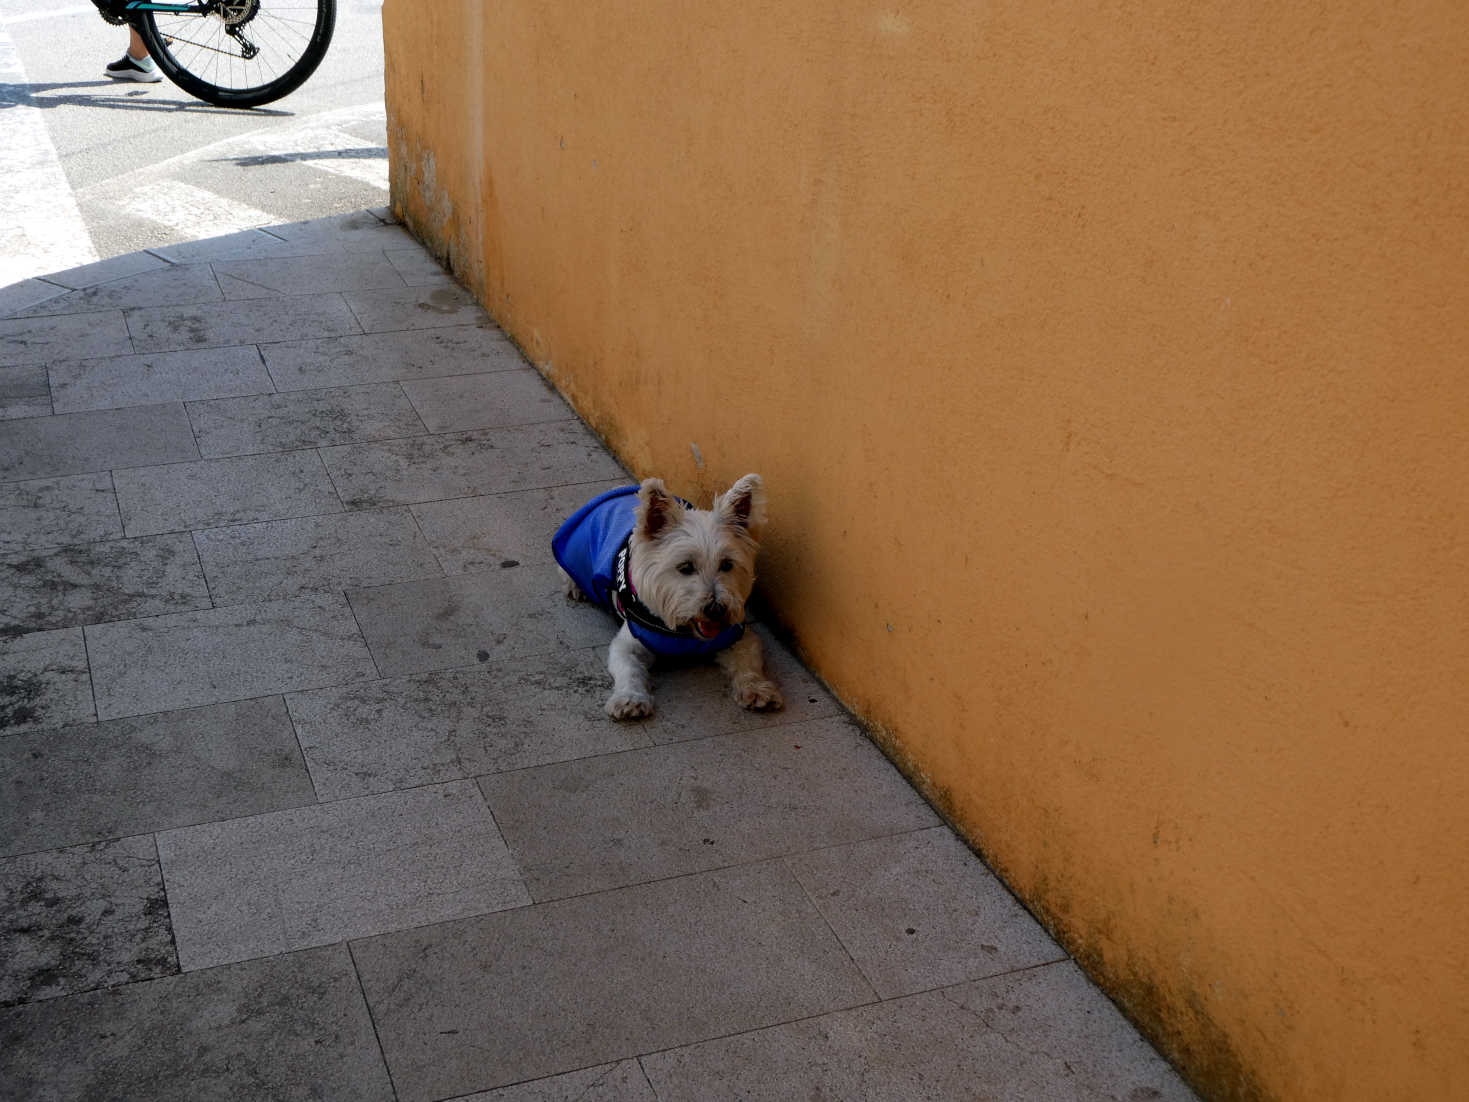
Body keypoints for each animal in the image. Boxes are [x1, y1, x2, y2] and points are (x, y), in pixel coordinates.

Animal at [552, 476, 781, 719]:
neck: (684, 634)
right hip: (578, 549)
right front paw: (630, 698)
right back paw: (574, 586)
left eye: (727, 565)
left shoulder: (738, 636)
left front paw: (756, 689)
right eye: (686, 567)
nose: (716, 610)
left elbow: (748, 663)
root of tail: (617, 491)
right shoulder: (627, 644)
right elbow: (628, 669)